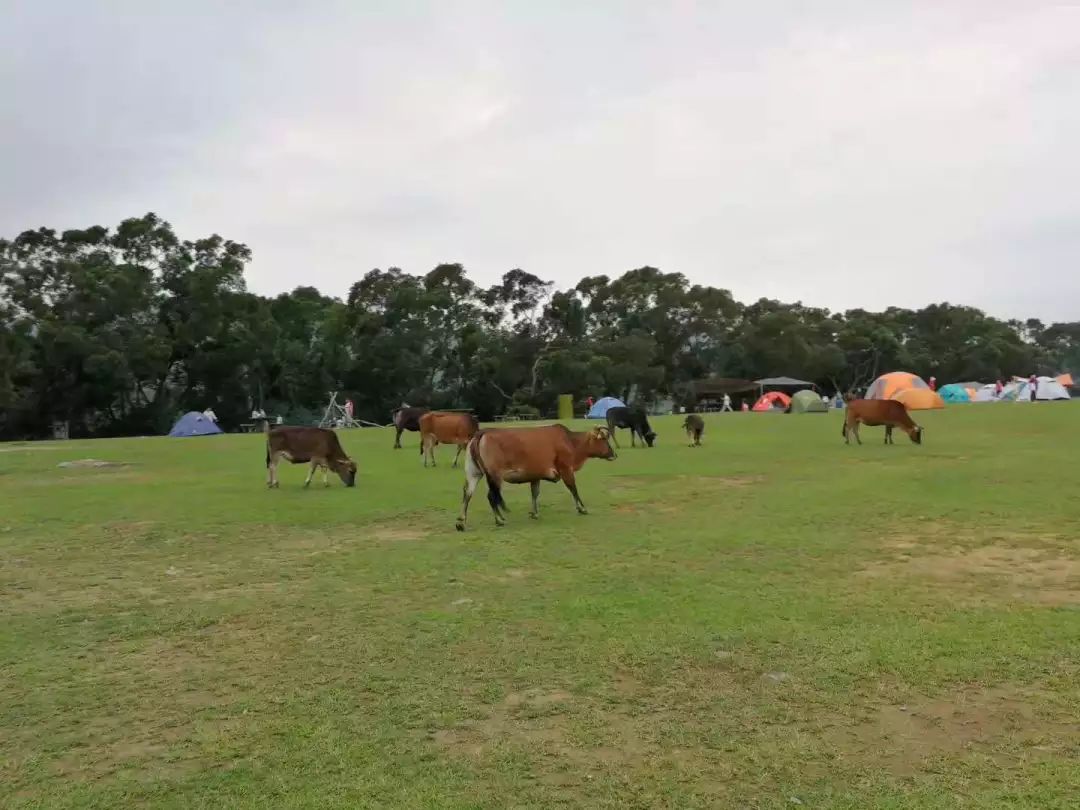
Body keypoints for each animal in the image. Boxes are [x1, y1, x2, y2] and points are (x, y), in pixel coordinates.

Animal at [453, 425, 617, 533]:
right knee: (491, 496)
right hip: (495, 476)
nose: (614, 454)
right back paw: (499, 520)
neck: (571, 442)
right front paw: (582, 508)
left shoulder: (535, 476)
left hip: (474, 473)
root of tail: (482, 432)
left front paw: (534, 513)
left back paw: (461, 522)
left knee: (467, 493)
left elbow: (535, 493)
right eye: (604, 440)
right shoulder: (566, 469)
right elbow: (573, 488)